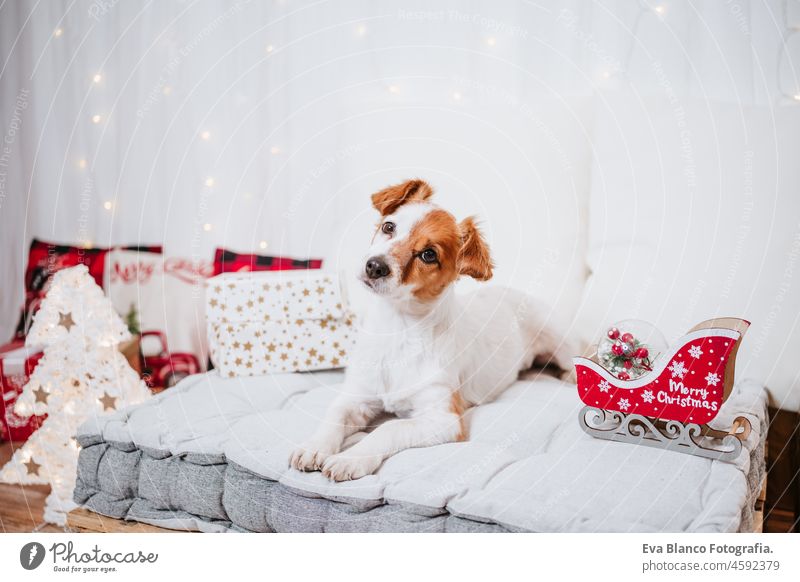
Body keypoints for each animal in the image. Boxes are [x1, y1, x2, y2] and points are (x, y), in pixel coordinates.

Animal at [290, 180, 572, 482]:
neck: (397, 329)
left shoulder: (445, 419)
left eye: (428, 255)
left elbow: (389, 428)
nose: (375, 266)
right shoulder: (358, 397)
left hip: (561, 341)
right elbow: (334, 415)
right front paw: (315, 446)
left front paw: (351, 458)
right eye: (389, 226)